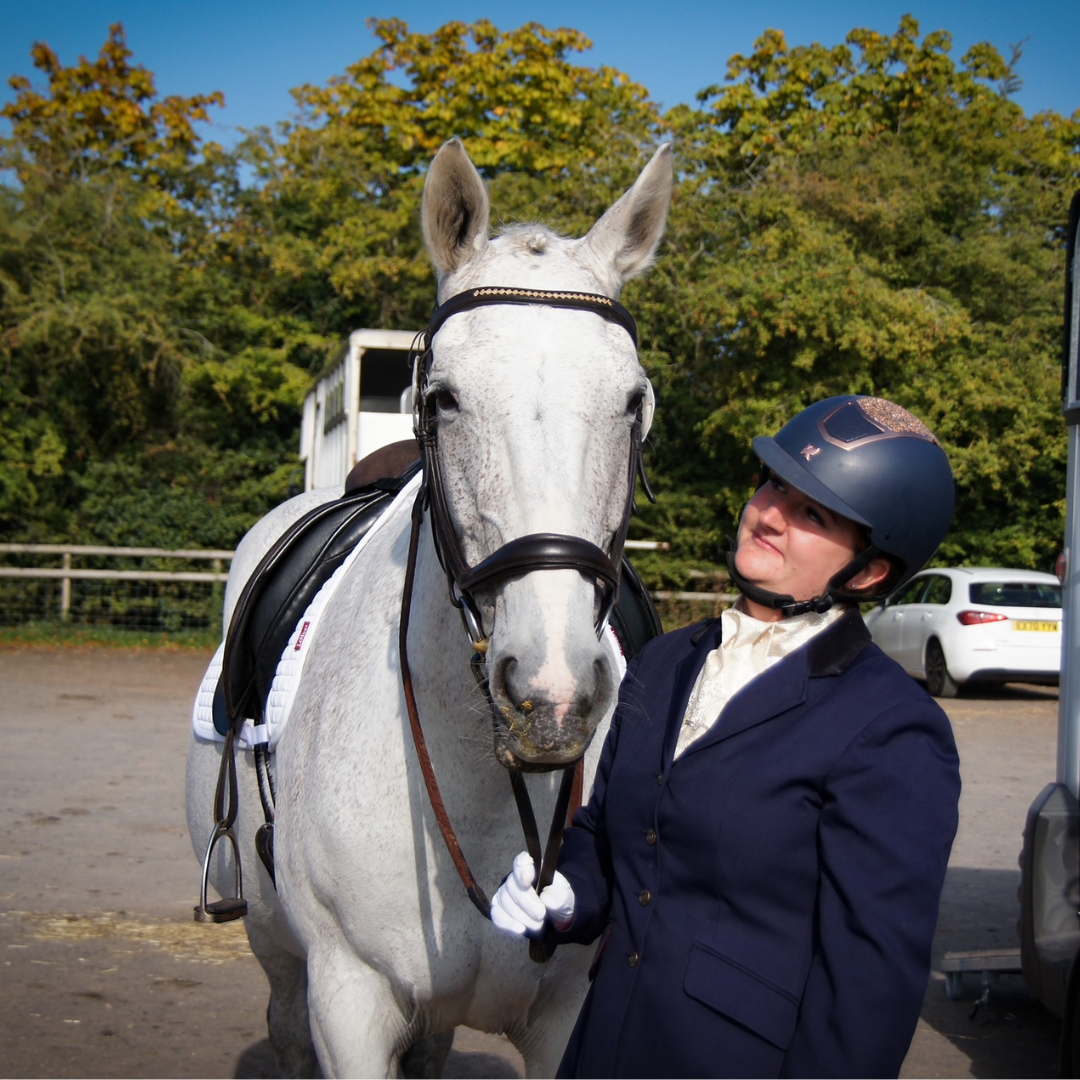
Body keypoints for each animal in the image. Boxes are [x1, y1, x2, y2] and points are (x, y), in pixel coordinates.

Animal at [186, 137, 673, 1078]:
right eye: (442, 397)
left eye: (634, 402)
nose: (552, 698)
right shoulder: (349, 1000)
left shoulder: (566, 1017)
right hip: (277, 953)